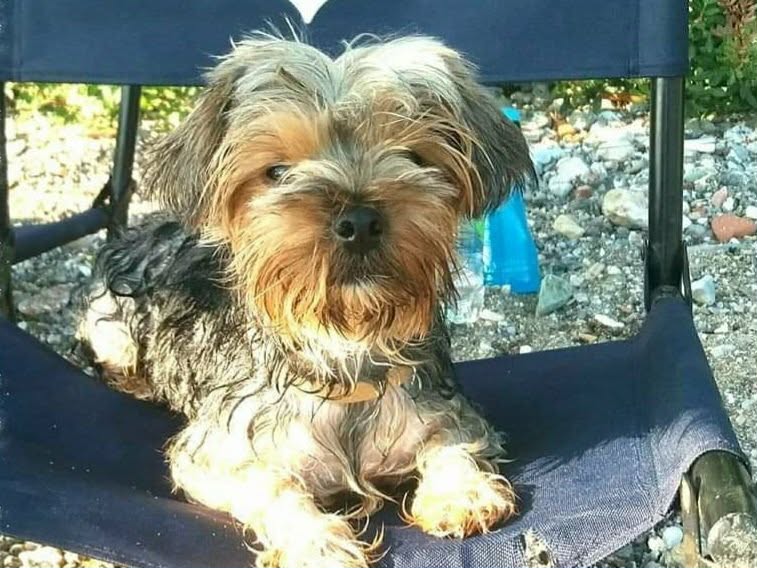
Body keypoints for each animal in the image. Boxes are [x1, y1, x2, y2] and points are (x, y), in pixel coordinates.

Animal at [79, 33, 533, 568]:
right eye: (277, 171)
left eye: (414, 157)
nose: (359, 220)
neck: (345, 350)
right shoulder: (215, 452)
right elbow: (269, 485)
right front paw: (316, 542)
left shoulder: (442, 407)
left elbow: (453, 440)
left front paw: (461, 492)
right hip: (112, 329)